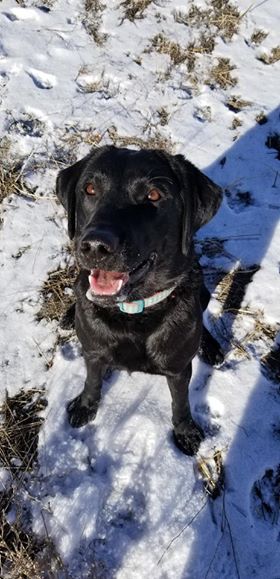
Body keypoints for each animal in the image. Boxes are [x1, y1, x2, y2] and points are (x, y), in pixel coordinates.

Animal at [57, 147, 223, 456]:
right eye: (90, 189)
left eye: (154, 195)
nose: (95, 246)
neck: (133, 314)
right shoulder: (93, 352)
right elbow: (92, 380)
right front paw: (85, 405)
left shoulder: (179, 368)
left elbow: (180, 402)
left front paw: (185, 431)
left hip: (203, 292)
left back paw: (211, 346)